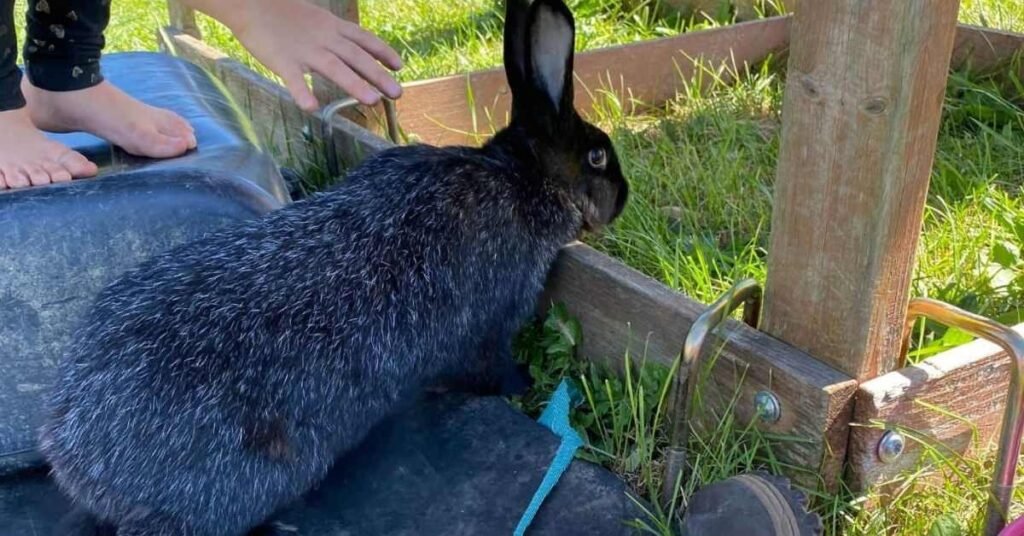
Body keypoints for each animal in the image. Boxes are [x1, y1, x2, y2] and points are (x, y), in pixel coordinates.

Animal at [39, 0, 628, 534]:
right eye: (598, 157)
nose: (621, 198)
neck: (520, 176)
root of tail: (75, 457)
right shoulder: (492, 320)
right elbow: (488, 366)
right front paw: (520, 384)